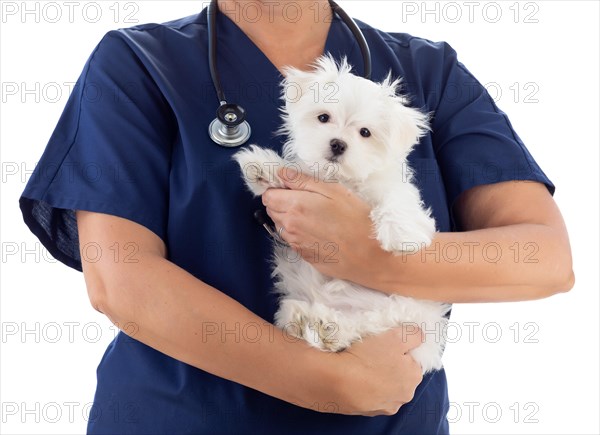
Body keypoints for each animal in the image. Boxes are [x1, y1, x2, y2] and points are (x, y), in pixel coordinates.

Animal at [233, 55, 450, 374]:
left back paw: (330, 329)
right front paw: (262, 167)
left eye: (365, 133)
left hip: (403, 312)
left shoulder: (388, 186)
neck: (341, 179)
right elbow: (289, 173)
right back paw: (300, 319)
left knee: (367, 325)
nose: (337, 144)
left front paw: (401, 234)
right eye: (323, 118)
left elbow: (397, 198)